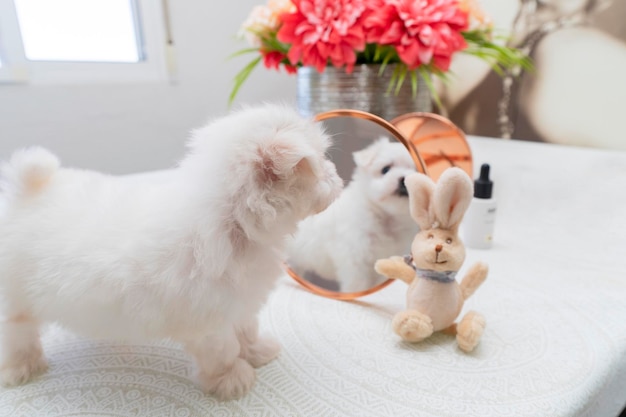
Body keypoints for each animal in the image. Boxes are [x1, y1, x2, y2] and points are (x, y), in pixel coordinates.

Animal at [0, 104, 342, 400]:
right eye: (322, 162)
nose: (337, 174)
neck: (232, 221)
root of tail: (25, 193)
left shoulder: (239, 302)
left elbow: (246, 329)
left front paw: (256, 351)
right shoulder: (210, 321)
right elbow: (224, 350)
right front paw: (232, 379)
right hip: (16, 300)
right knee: (17, 334)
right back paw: (20, 368)